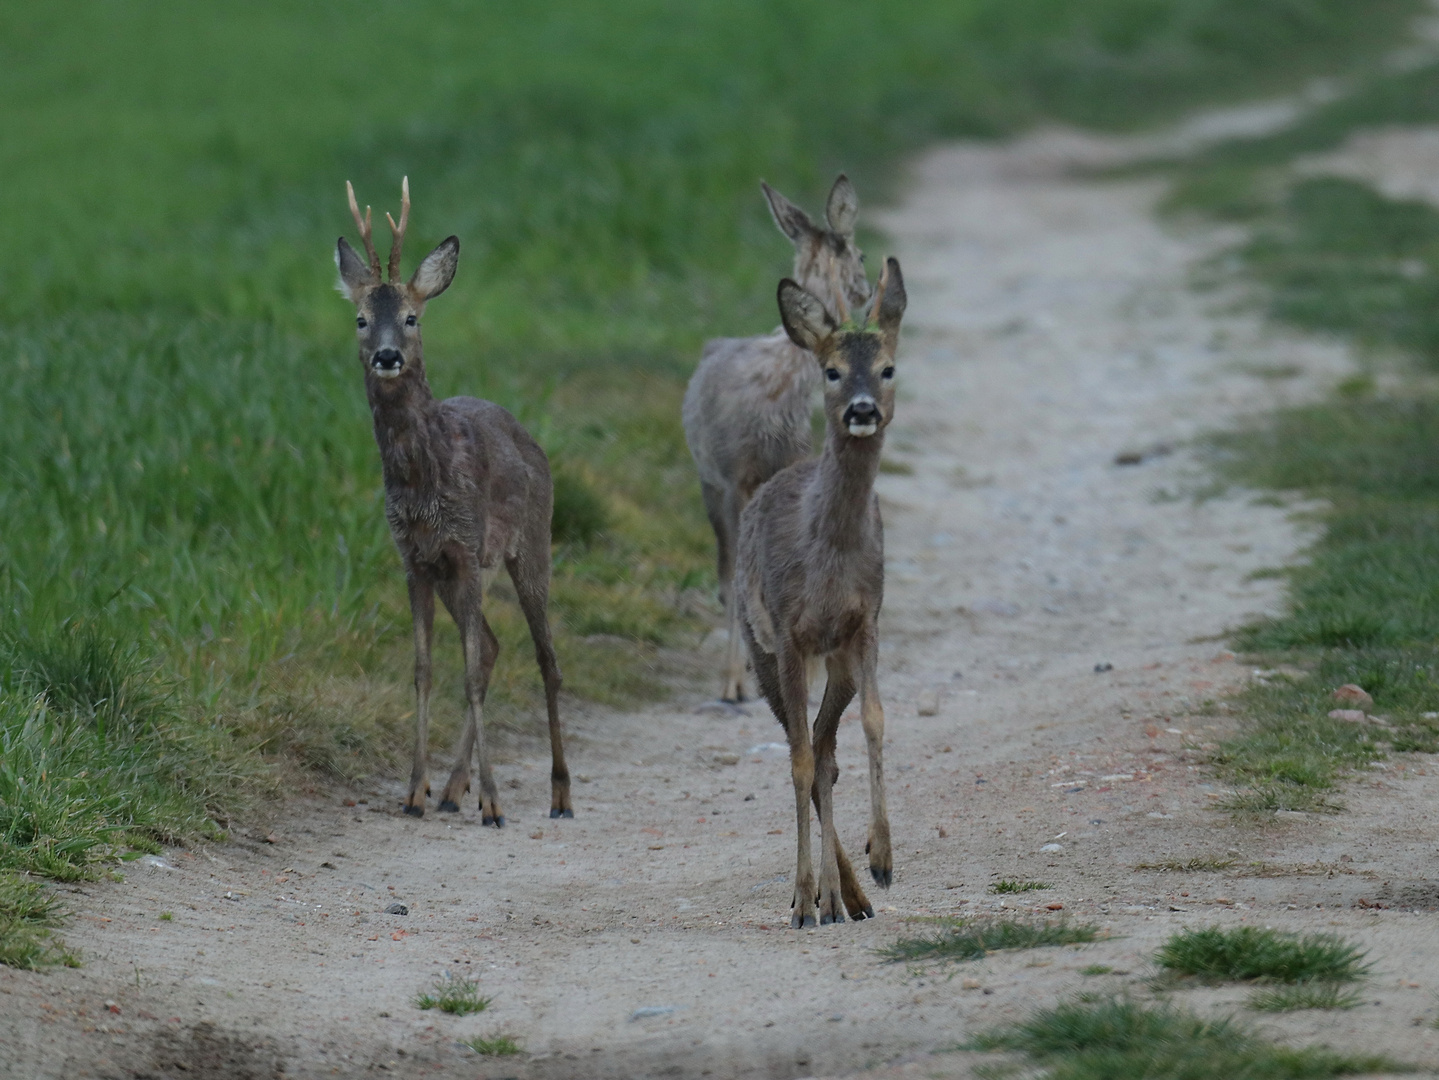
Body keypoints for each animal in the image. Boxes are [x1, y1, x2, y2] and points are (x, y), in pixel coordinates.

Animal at [333, 177, 569, 822]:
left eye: (412, 317)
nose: (388, 356)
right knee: (489, 645)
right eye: (361, 319)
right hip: (457, 571)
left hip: (528, 543)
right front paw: (415, 790)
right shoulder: (416, 559)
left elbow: (464, 670)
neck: (423, 480)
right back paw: (452, 788)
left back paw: (559, 793)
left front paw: (493, 801)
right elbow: (424, 669)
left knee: (544, 657)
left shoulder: (465, 547)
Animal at [682, 173, 869, 704]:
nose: (869, 288)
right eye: (863, 254)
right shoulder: (736, 478)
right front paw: (735, 681)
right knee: (728, 574)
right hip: (710, 481)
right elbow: (737, 580)